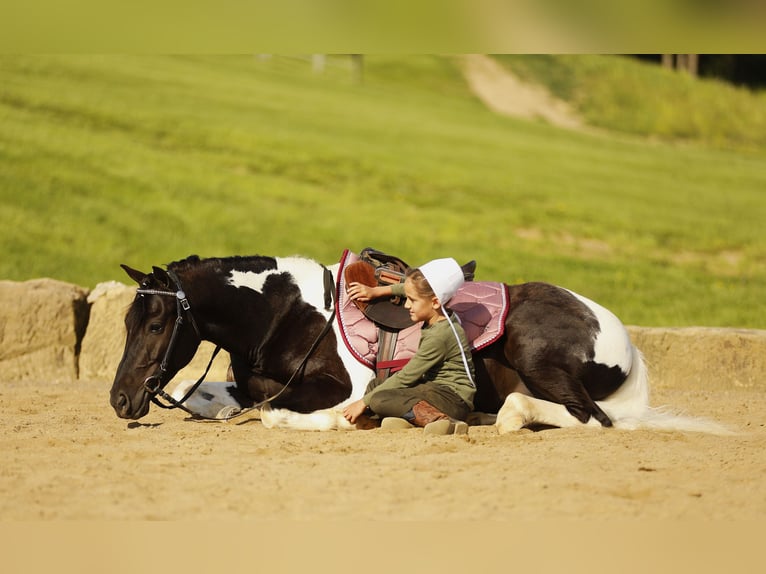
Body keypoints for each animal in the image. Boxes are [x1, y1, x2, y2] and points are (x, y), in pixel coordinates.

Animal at [110, 253, 728, 434]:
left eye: (157, 325)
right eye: (128, 324)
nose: (119, 400)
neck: (288, 314)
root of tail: (628, 346)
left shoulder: (335, 388)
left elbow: (277, 411)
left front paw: (335, 422)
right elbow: (208, 395)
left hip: (535, 353)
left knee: (591, 419)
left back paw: (508, 416)